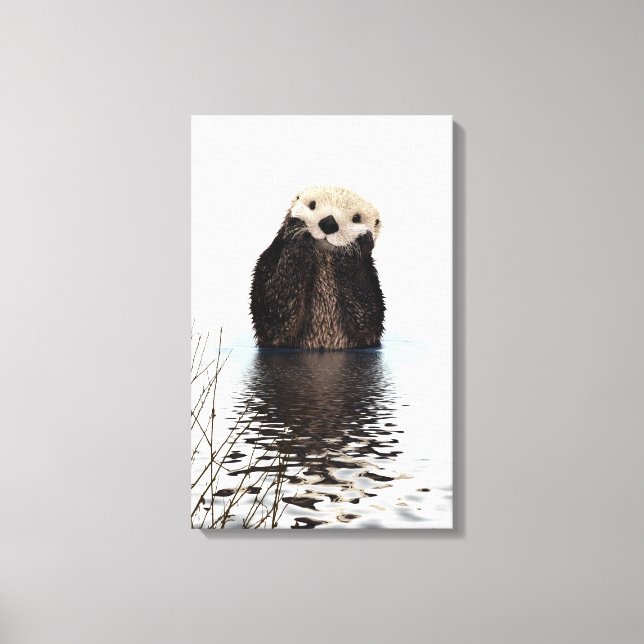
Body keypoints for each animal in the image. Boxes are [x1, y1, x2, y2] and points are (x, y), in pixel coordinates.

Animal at [250, 186, 385, 350]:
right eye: (312, 205)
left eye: (357, 218)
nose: (329, 223)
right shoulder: (267, 263)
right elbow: (273, 312)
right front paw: (298, 231)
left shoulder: (371, 281)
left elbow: (367, 317)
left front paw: (355, 245)